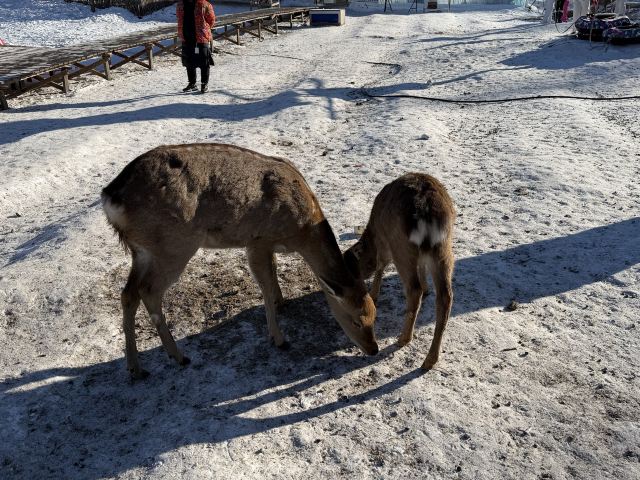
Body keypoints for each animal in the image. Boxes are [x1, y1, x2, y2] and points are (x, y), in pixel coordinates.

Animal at [101, 143, 379, 379]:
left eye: (374, 315)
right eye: (355, 319)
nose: (373, 349)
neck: (300, 232)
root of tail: (111, 197)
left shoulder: (267, 247)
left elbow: (274, 275)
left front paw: (282, 302)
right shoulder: (258, 240)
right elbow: (264, 286)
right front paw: (279, 339)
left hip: (141, 251)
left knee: (128, 294)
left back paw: (136, 369)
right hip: (173, 246)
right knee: (148, 291)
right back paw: (179, 356)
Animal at [343, 173, 455, 371]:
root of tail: (428, 212)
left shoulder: (383, 241)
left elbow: (381, 264)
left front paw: (373, 294)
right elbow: (421, 267)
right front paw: (427, 288)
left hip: (401, 247)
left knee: (414, 289)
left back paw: (403, 339)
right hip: (443, 248)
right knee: (445, 296)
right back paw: (430, 360)